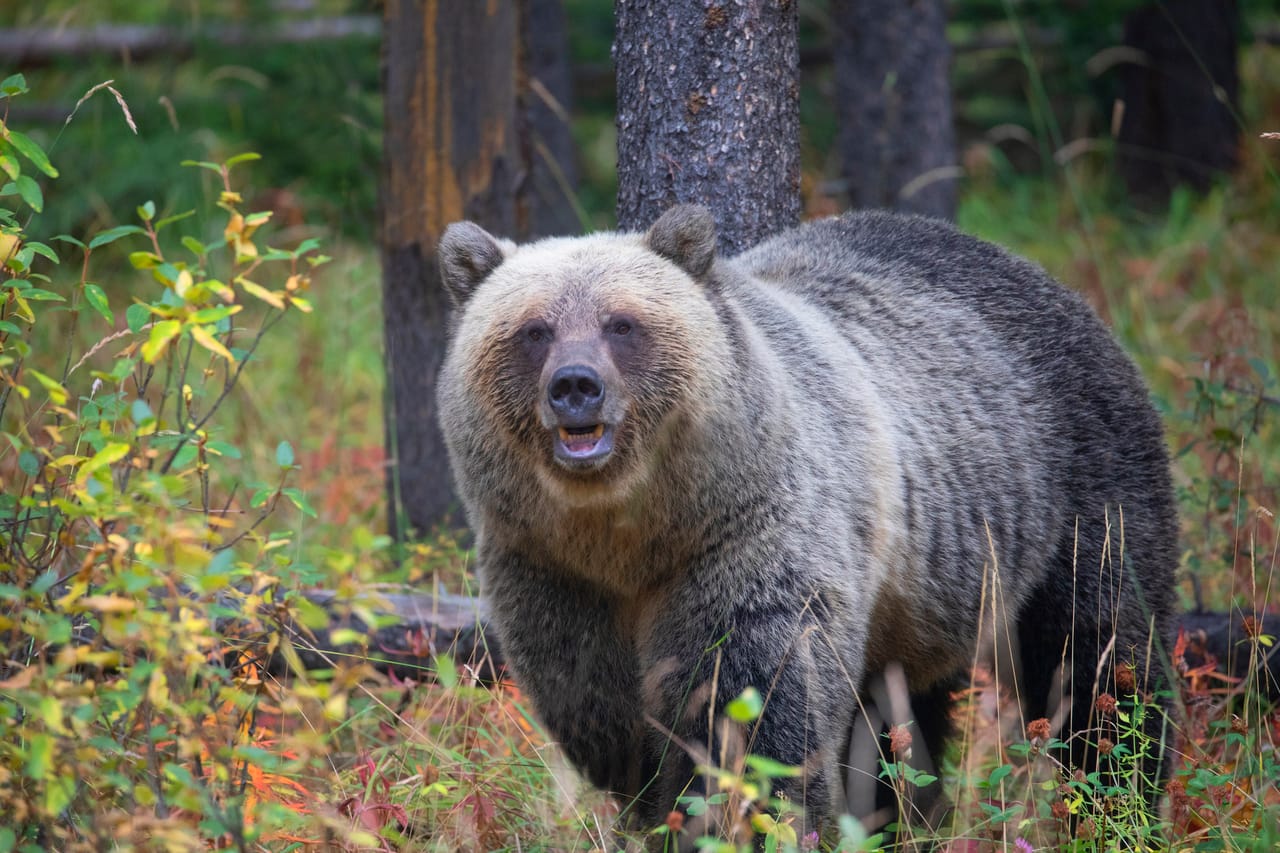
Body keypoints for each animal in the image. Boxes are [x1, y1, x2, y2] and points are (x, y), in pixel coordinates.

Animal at [435, 205, 1178, 845]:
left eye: (622, 323)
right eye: (534, 329)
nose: (575, 386)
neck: (635, 534)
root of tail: (1044, 278)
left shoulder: (748, 539)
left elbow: (756, 706)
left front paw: (739, 814)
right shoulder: (548, 570)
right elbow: (601, 714)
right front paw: (647, 805)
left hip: (1075, 492)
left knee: (1102, 663)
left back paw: (1122, 803)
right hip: (925, 597)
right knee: (907, 723)